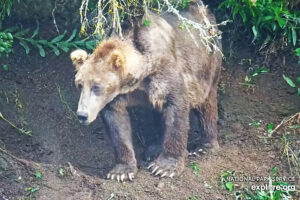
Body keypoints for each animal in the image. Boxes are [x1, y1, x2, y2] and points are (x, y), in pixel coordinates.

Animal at [69, 0, 220, 183]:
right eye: (79, 84)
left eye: (96, 86)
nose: (82, 115)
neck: (140, 76)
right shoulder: (119, 96)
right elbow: (117, 125)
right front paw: (121, 171)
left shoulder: (165, 73)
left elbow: (176, 108)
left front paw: (164, 167)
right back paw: (154, 148)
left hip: (208, 64)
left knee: (206, 103)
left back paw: (205, 147)